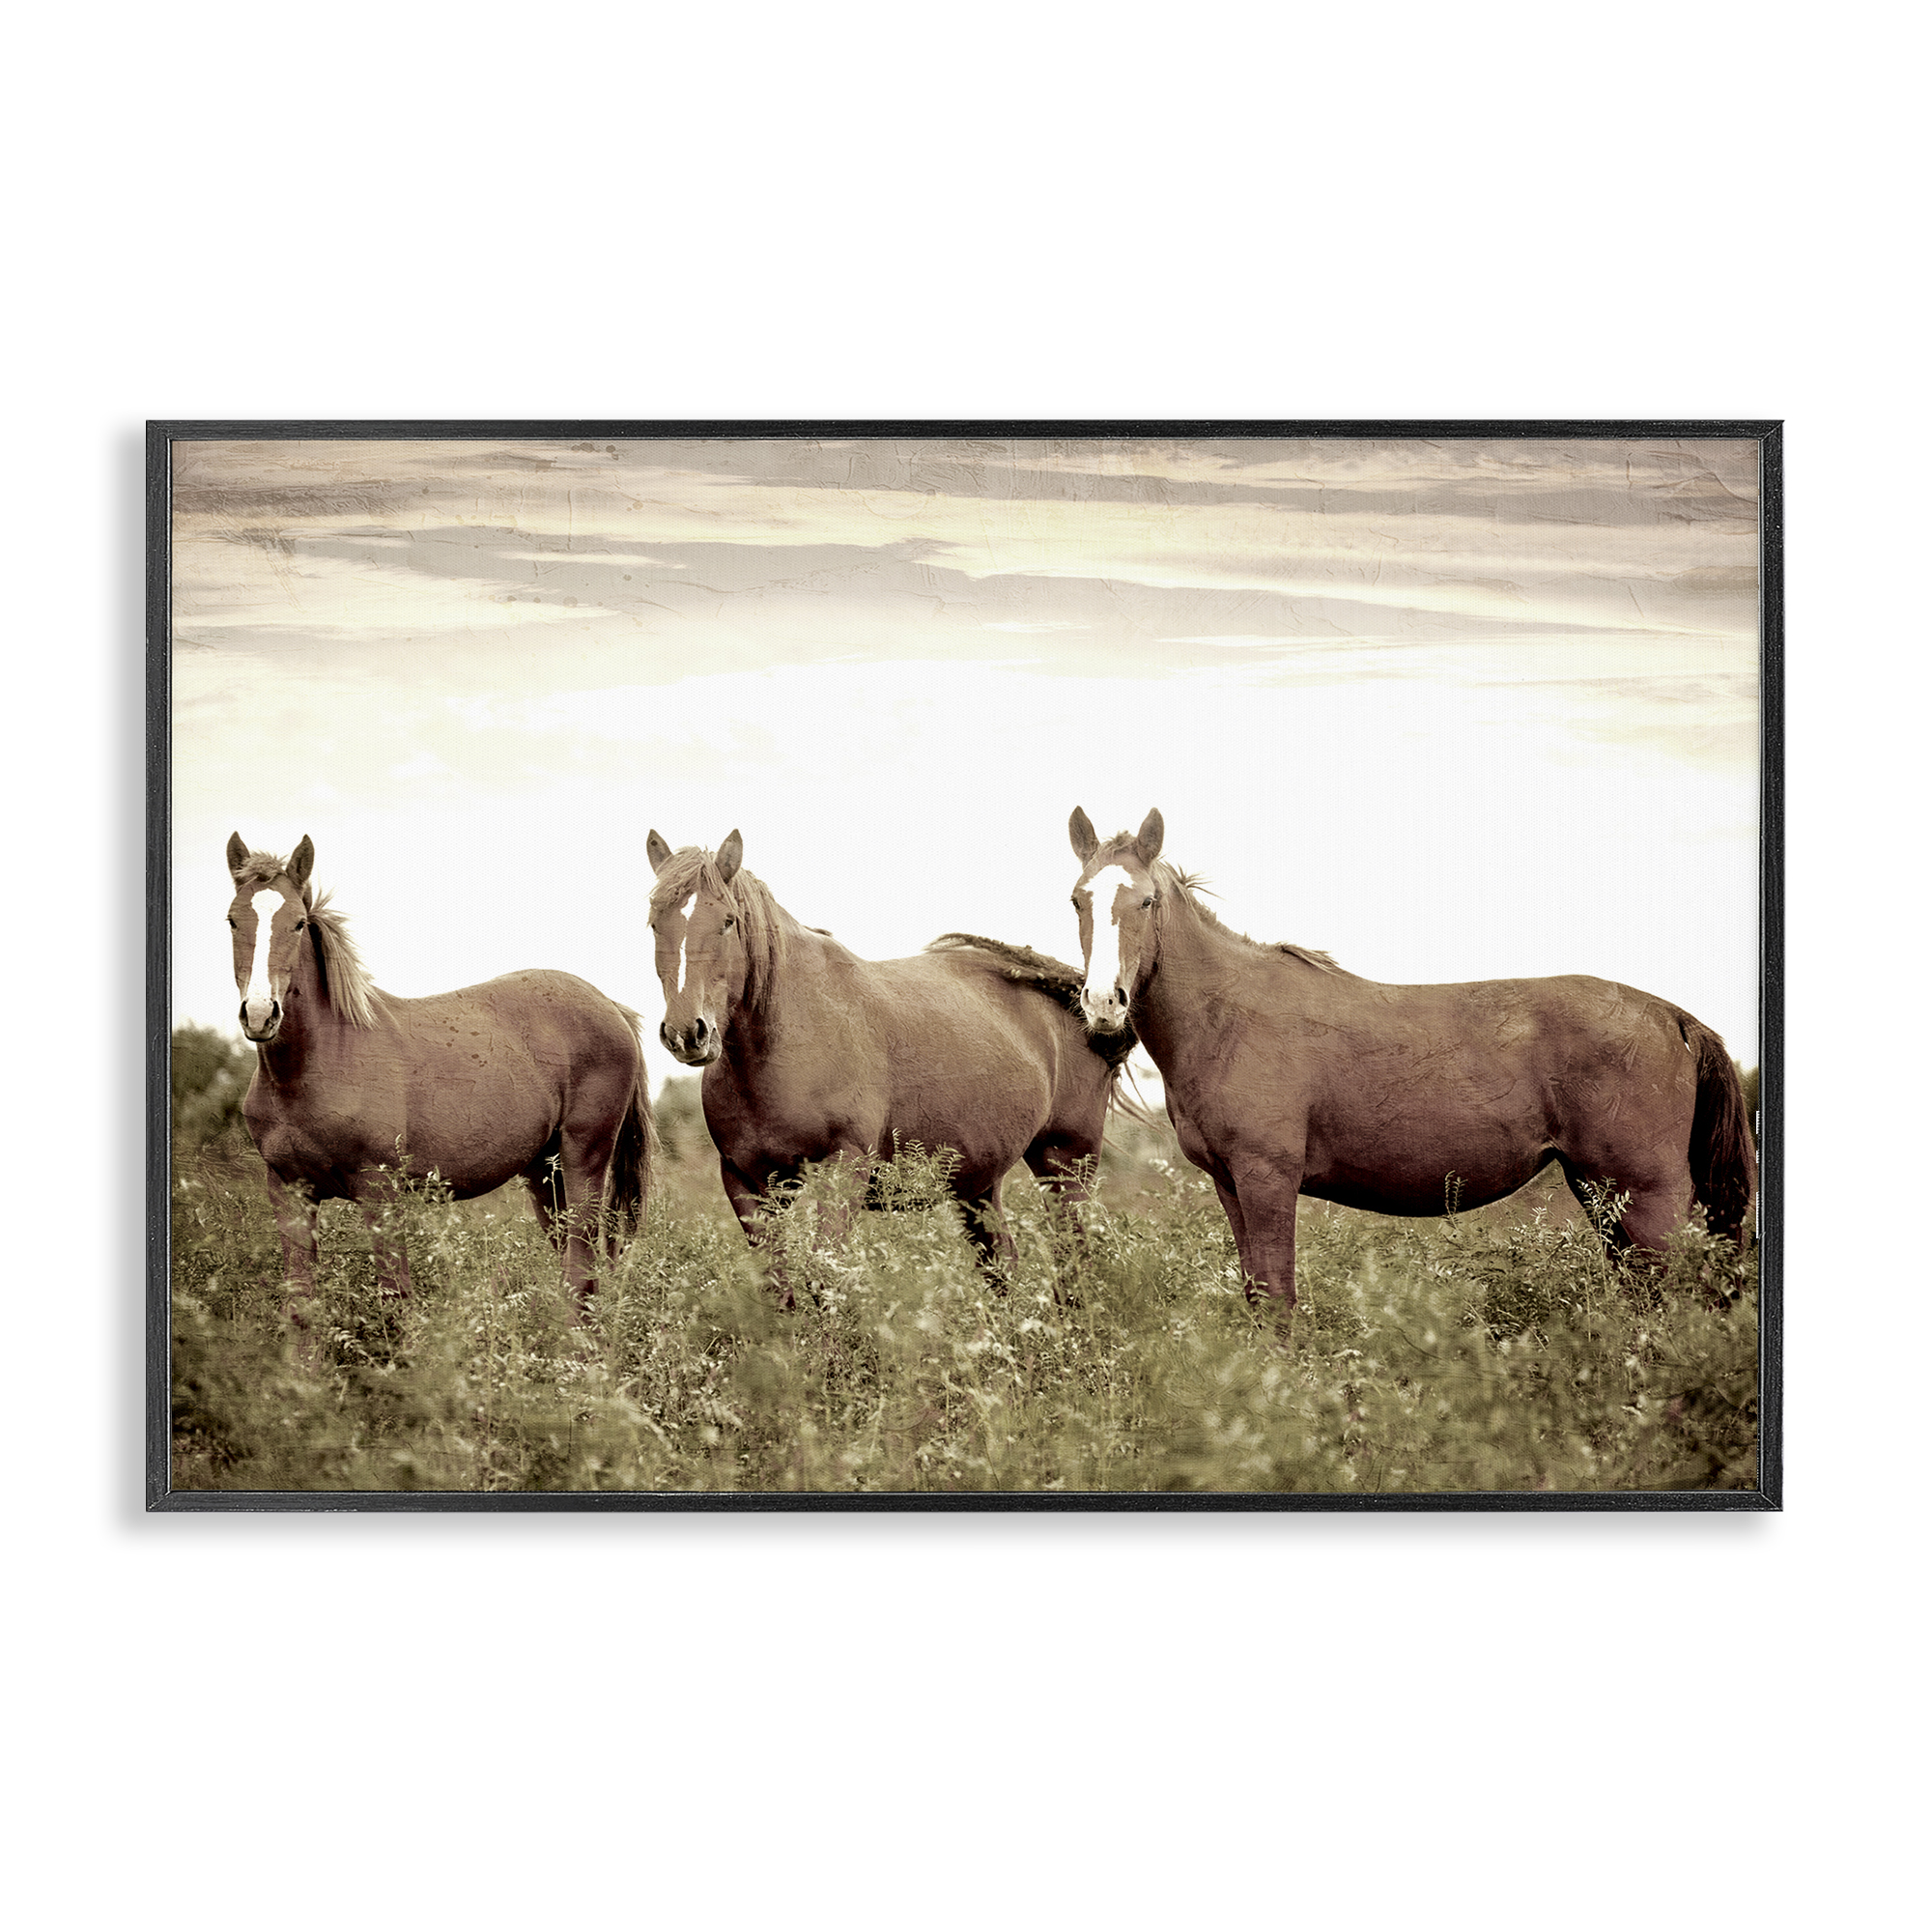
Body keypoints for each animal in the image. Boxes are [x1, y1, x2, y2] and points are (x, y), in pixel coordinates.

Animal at [220, 833, 653, 1321]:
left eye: (296, 923)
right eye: (233, 920)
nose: (260, 1014)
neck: (314, 1066)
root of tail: (610, 1005)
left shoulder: (380, 1193)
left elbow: (396, 1301)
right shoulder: (289, 1193)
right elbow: (301, 1306)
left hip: (584, 1160)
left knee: (581, 1264)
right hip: (544, 1172)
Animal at [644, 828, 1134, 1300]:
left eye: (727, 921)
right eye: (653, 922)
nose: (687, 1033)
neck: (786, 1037)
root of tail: (1084, 1002)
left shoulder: (843, 1170)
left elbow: (825, 1278)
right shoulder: (746, 1182)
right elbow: (778, 1285)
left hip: (1064, 1165)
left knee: (1072, 1260)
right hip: (978, 1184)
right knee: (1001, 1264)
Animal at [1065, 808, 1757, 1321]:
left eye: (1146, 902)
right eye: (1077, 900)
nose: (1103, 1002)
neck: (1228, 1017)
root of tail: (1672, 1017)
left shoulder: (1268, 1180)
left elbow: (1280, 1299)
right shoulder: (1230, 1184)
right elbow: (1259, 1297)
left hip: (1646, 1199)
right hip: (1603, 1194)